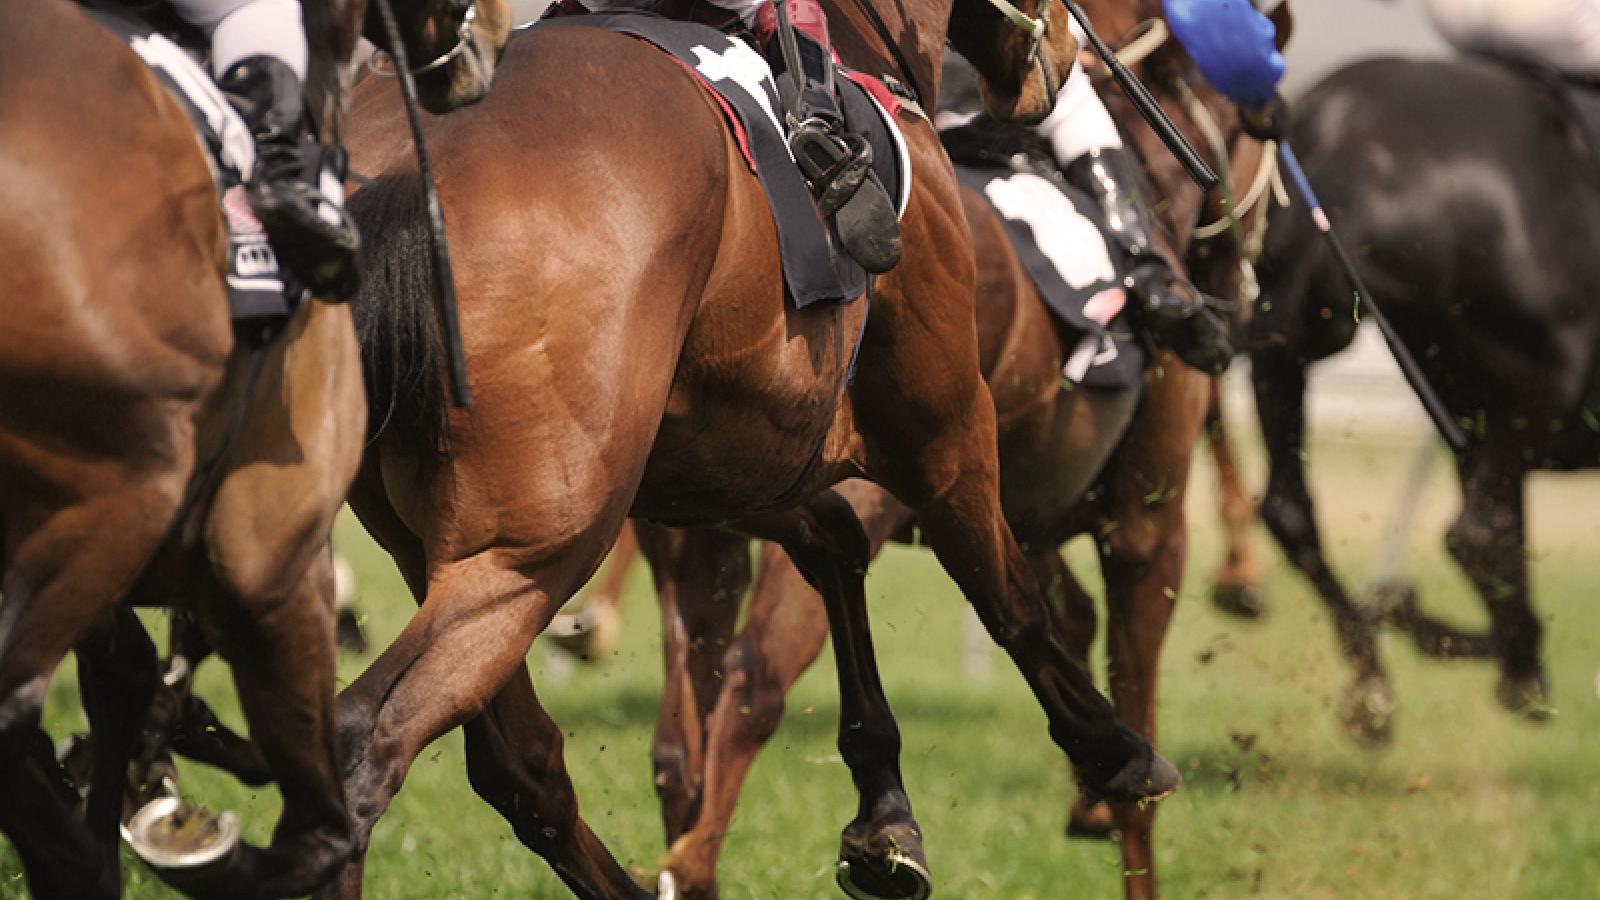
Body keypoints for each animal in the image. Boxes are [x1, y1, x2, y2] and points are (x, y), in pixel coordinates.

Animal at [333, 2, 1185, 897]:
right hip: (531, 551)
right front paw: (1116, 752)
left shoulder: (725, 467)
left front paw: (884, 816)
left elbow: (836, 546)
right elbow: (1009, 597)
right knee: (368, 743)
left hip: (434, 543)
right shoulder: (945, 426)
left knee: (523, 769)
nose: (1063, 47)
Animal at [636, 4, 1293, 898]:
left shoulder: (1013, 505)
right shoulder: (1144, 530)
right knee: (755, 676)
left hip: (695, 516)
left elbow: (1062, 615)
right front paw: (1119, 788)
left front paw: (1089, 792)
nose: (1233, 292)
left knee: (683, 735)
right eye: (1267, 127)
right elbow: (1128, 702)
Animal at [1207, 54, 1600, 738]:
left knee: (1290, 509)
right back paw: (1505, 668)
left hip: (1302, 339)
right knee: (1478, 535)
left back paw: (1380, 673)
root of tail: (1351, 134)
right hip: (1540, 388)